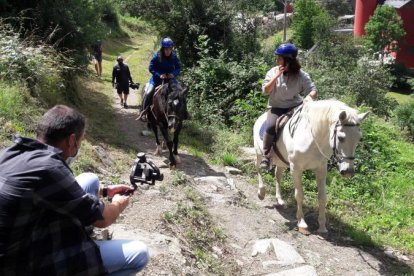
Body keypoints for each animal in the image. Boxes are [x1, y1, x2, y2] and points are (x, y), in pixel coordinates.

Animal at [252, 100, 368, 234]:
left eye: (359, 138)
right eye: (340, 137)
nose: (348, 171)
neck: (312, 138)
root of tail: (260, 118)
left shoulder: (321, 170)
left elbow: (322, 198)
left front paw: (322, 226)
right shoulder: (296, 169)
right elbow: (299, 195)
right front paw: (302, 223)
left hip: (282, 162)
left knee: (278, 175)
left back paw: (280, 200)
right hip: (259, 153)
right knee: (258, 168)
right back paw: (261, 192)